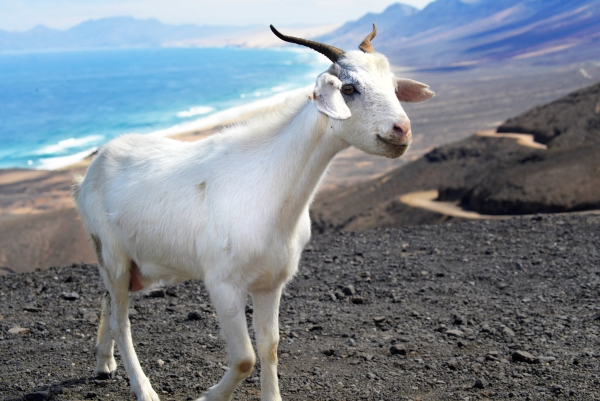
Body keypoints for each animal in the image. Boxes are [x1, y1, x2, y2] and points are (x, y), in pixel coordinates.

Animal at [72, 24, 434, 401]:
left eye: (393, 86)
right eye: (349, 88)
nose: (402, 131)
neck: (268, 187)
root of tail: (92, 167)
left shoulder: (270, 283)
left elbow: (269, 346)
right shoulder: (223, 283)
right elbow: (245, 357)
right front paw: (208, 396)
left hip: (134, 264)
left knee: (108, 302)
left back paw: (104, 363)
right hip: (111, 251)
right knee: (121, 320)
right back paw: (143, 389)